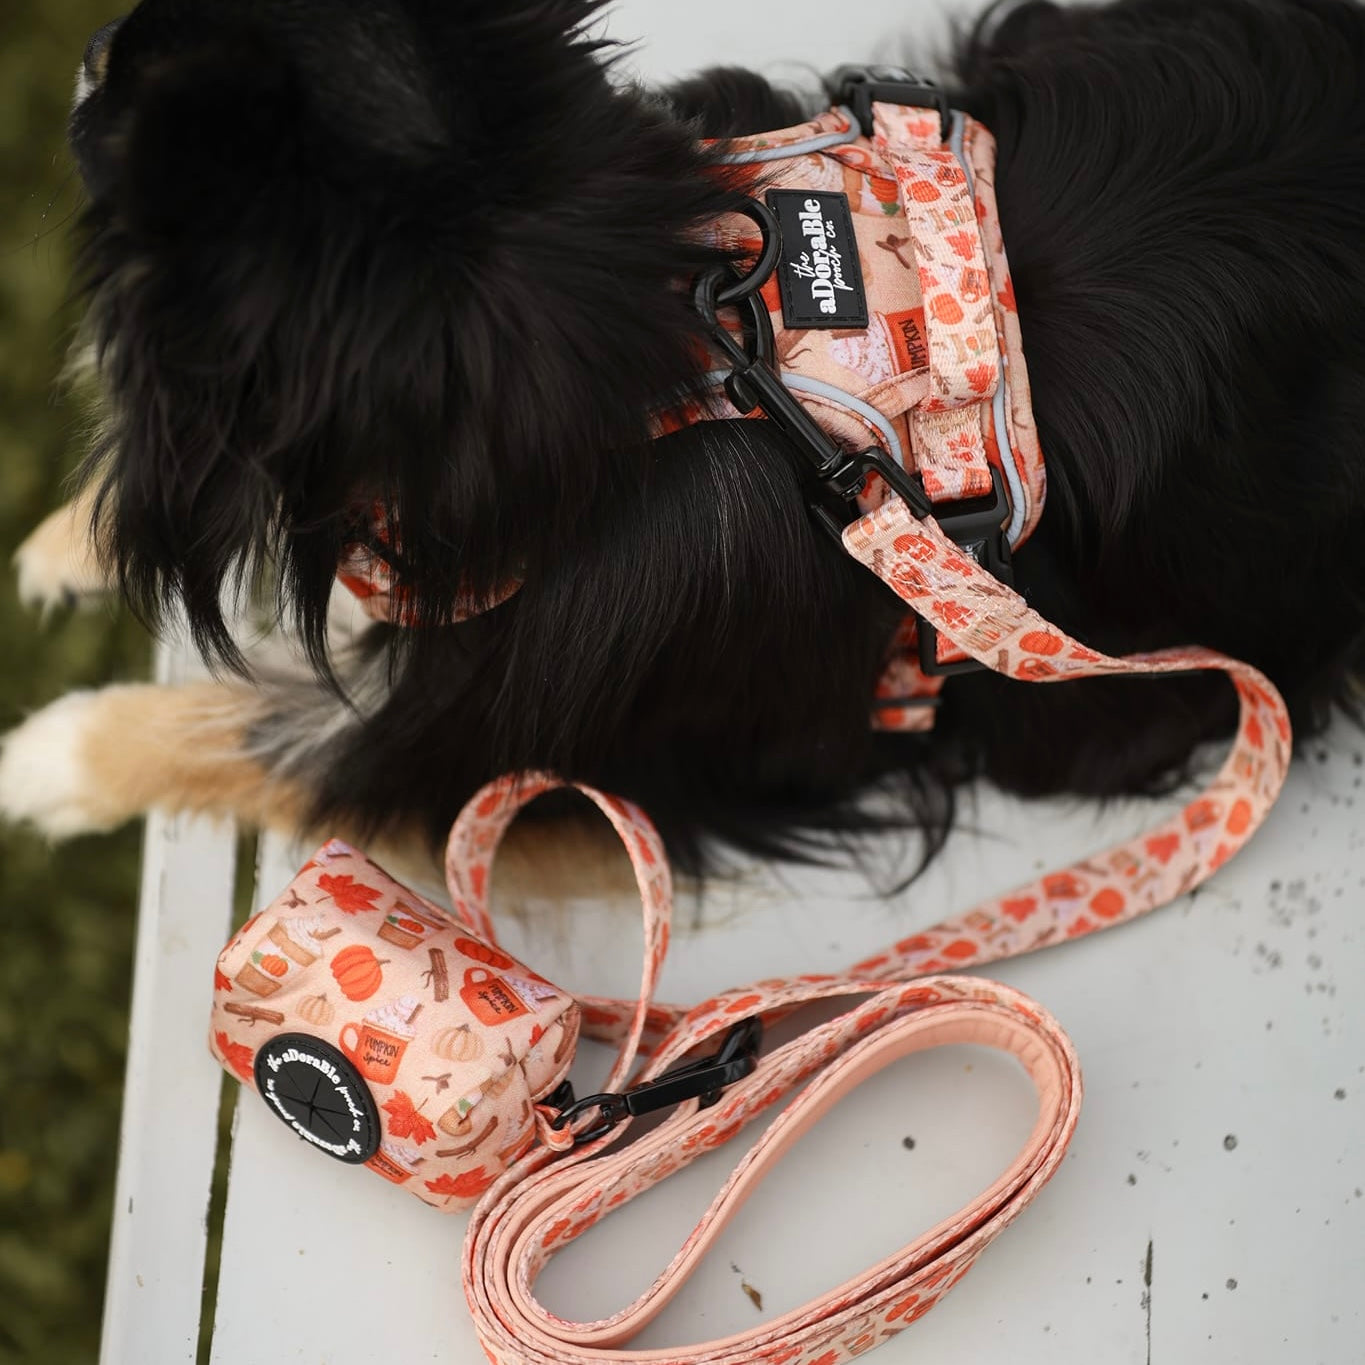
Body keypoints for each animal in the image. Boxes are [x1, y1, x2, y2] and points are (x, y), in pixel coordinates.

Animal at [2, 0, 1365, 873]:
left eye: (119, 114)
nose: (89, 45)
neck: (689, 361)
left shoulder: (525, 753)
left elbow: (274, 742)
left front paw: (56, 758)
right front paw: (63, 546)